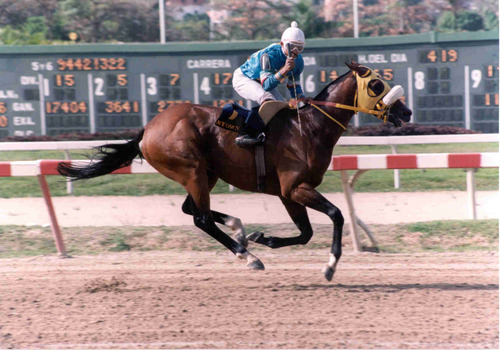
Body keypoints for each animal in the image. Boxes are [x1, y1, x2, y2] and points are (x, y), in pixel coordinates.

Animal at [57, 61, 410, 282]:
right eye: (376, 84)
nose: (406, 112)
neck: (309, 127)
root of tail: (147, 129)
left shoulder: (288, 193)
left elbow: (307, 232)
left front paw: (264, 237)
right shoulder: (295, 187)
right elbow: (336, 214)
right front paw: (330, 266)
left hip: (205, 173)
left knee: (193, 209)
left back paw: (240, 230)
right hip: (191, 169)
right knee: (201, 218)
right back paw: (248, 255)